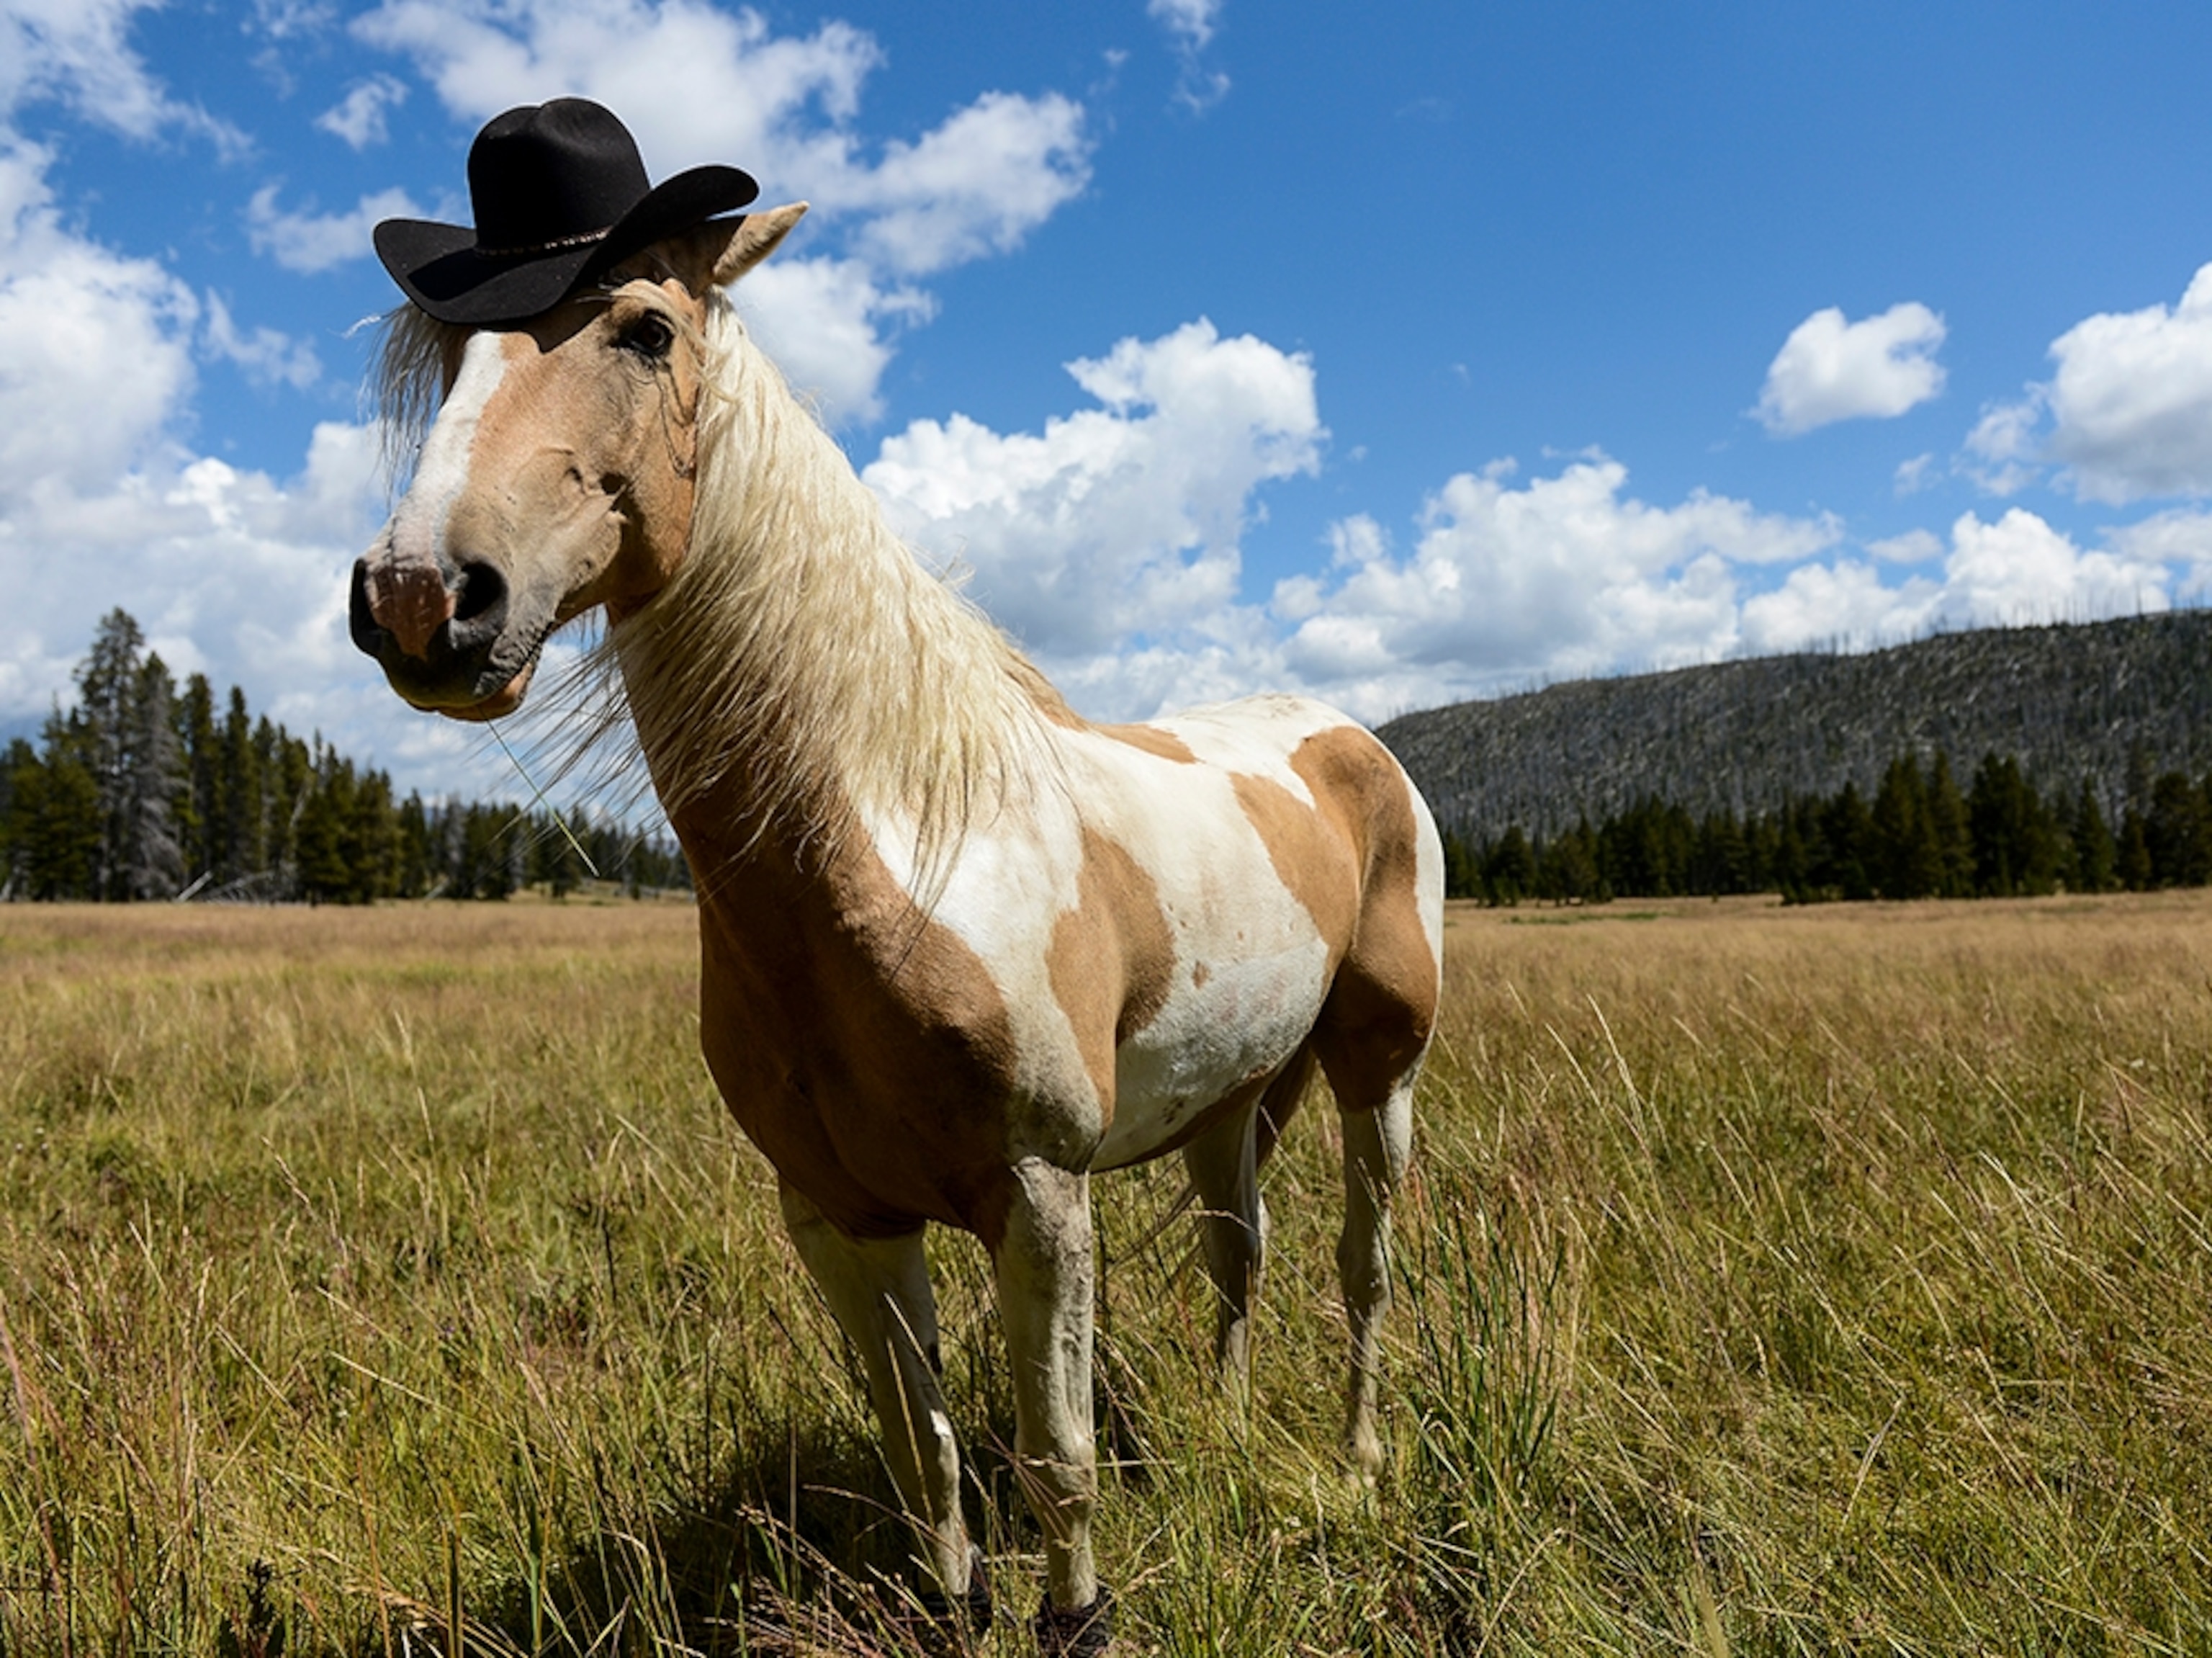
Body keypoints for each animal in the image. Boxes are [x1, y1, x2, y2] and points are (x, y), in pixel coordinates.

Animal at [349, 202, 1444, 1654]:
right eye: (445, 357)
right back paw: (1225, 1431)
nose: (423, 597)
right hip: (1233, 1094)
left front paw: (1076, 1617)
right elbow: (921, 1450)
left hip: (1380, 1069)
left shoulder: (1040, 1197)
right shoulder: (841, 1214)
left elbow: (1055, 1457)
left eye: (646, 329)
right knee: (1237, 1259)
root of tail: (1348, 737)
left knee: (1362, 1267)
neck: (907, 851)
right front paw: (961, 1599)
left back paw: (1358, 1464)